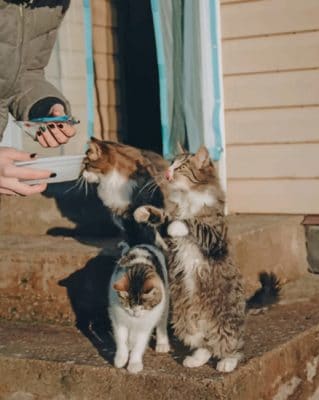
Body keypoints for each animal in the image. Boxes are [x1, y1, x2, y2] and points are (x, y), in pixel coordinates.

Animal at [109, 244, 171, 376]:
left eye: (143, 305)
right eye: (127, 305)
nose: (134, 312)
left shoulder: (145, 325)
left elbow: (139, 344)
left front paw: (134, 364)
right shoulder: (118, 319)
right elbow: (121, 338)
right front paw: (121, 358)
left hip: (165, 301)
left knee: (162, 322)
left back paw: (162, 343)